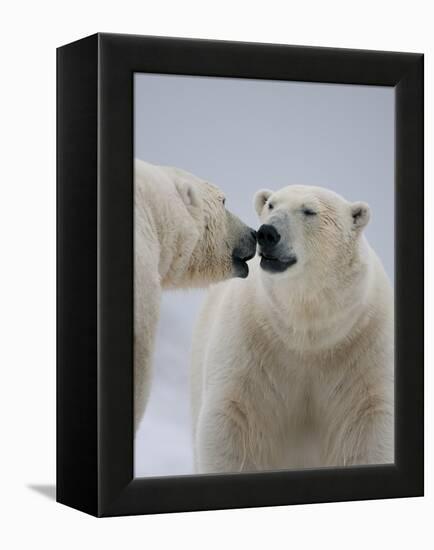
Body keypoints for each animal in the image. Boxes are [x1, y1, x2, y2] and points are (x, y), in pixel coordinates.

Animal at [192, 185, 396, 474]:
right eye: (271, 205)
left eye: (309, 211)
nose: (267, 233)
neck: (305, 329)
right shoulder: (251, 342)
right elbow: (233, 418)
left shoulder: (364, 345)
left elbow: (369, 422)